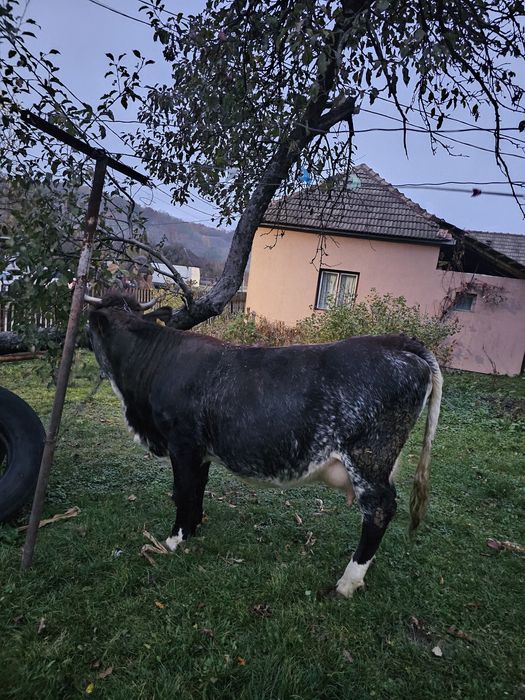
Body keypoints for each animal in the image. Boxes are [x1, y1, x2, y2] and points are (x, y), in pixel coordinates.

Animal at [87, 293, 442, 597]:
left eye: (90, 325)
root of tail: (394, 342)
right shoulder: (200, 451)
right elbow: (197, 489)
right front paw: (194, 529)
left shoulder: (182, 444)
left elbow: (183, 491)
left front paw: (175, 539)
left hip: (369, 456)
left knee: (379, 509)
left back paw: (346, 583)